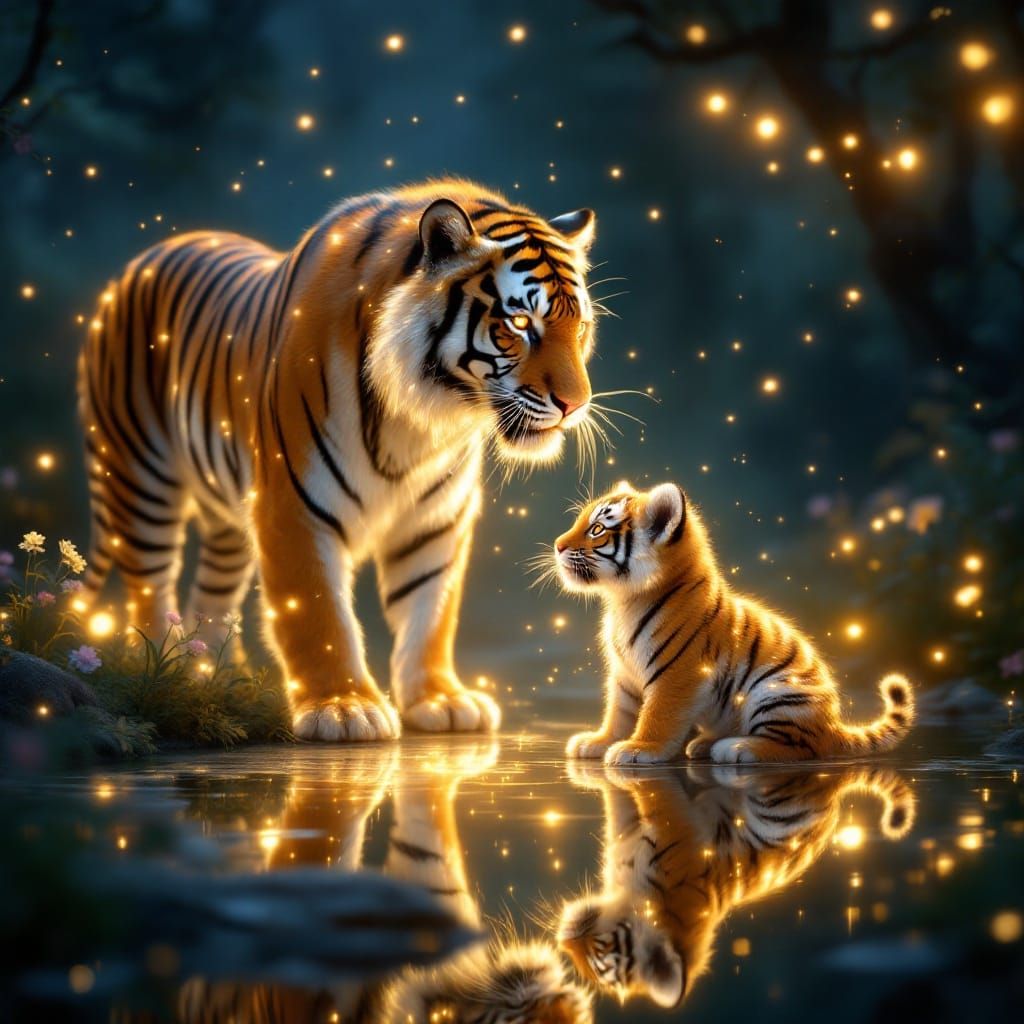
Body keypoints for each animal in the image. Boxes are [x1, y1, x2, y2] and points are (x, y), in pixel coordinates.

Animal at [77, 179, 599, 742]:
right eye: (520, 322)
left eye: (581, 327)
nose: (576, 405)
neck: (423, 420)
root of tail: (146, 257)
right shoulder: (293, 505)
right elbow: (318, 612)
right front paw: (343, 708)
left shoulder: (436, 519)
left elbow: (430, 612)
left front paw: (439, 700)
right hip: (140, 479)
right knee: (150, 584)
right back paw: (160, 670)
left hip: (226, 520)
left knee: (212, 597)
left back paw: (208, 676)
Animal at [552, 481, 916, 765]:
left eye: (597, 529)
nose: (557, 545)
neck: (624, 600)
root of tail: (833, 727)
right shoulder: (625, 674)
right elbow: (620, 712)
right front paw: (599, 741)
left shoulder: (676, 672)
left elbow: (657, 714)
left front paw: (639, 749)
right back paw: (704, 743)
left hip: (777, 694)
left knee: (801, 748)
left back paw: (738, 747)